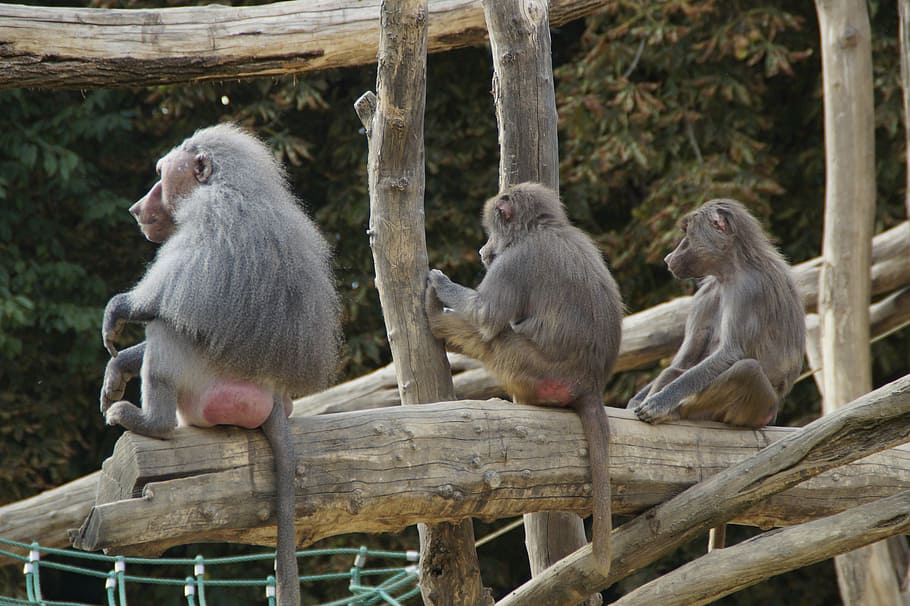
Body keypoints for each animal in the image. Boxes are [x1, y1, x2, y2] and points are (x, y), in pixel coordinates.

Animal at [100, 123, 341, 606]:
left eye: (161, 176)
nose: (136, 208)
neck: (232, 185)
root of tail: (274, 397)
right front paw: (118, 369)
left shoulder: (211, 216)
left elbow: (166, 303)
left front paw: (118, 310)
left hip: (208, 389)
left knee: (167, 330)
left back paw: (148, 421)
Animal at [424, 182, 622, 574]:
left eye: (491, 231)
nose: (483, 251)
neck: (540, 227)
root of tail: (590, 383)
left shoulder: (514, 263)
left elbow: (486, 316)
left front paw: (440, 283)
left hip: (533, 368)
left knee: (494, 337)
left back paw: (437, 318)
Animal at [626, 199, 804, 550]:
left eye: (687, 234)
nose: (669, 257)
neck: (732, 268)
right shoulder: (707, 292)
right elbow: (686, 356)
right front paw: (636, 403)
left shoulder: (749, 290)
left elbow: (731, 354)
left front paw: (658, 405)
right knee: (678, 368)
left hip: (757, 410)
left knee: (746, 370)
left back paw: (678, 412)